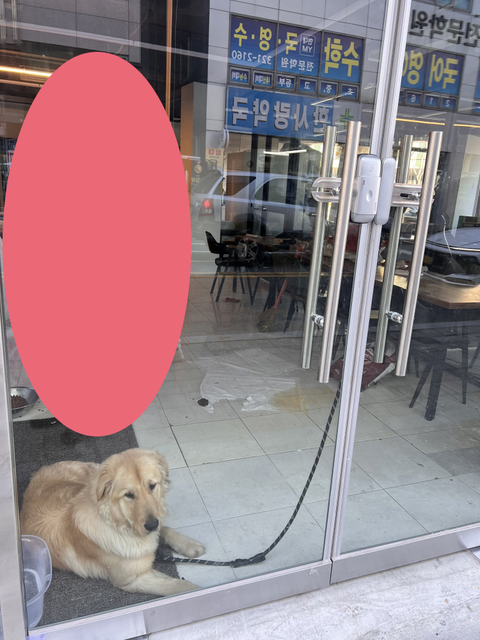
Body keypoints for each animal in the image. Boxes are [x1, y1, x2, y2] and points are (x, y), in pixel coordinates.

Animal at [20, 448, 206, 596]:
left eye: (152, 486)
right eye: (128, 495)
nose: (151, 525)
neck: (121, 527)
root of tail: (41, 469)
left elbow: (166, 530)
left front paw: (189, 545)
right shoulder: (133, 580)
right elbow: (179, 585)